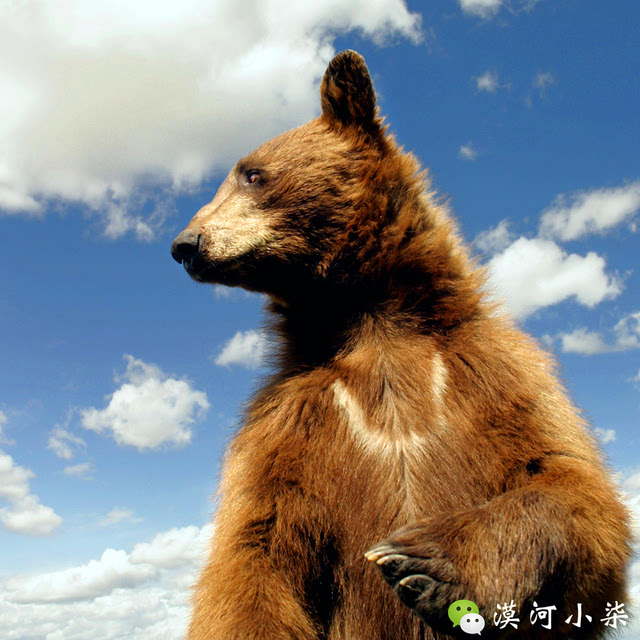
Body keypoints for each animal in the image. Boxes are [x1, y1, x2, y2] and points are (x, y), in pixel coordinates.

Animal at [170, 51, 632, 640]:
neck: (374, 326)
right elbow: (255, 548)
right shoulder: (288, 418)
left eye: (253, 174)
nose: (185, 245)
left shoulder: (493, 372)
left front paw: (429, 561)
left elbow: (571, 485)